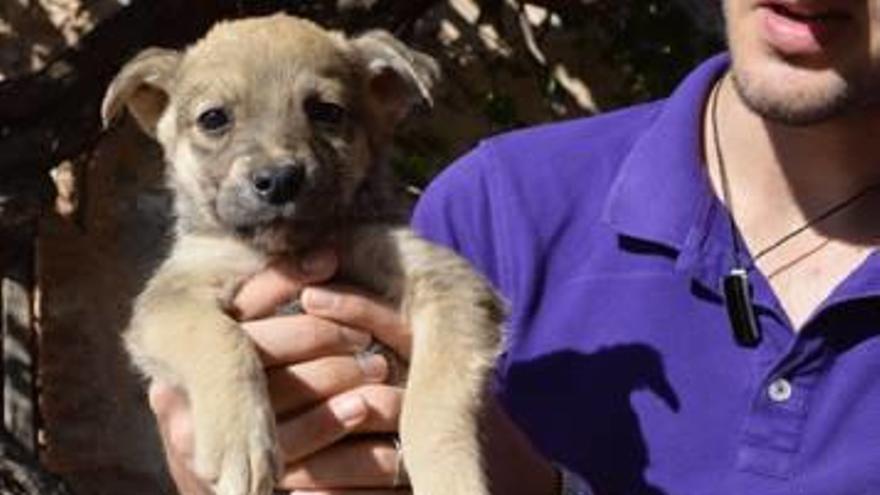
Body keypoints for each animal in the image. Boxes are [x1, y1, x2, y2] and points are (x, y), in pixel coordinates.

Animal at [101, 13, 502, 495]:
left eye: (326, 112)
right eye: (214, 118)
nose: (278, 181)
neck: (286, 248)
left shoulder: (446, 280)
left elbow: (434, 399)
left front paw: (449, 475)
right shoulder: (171, 298)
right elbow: (220, 338)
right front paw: (241, 441)